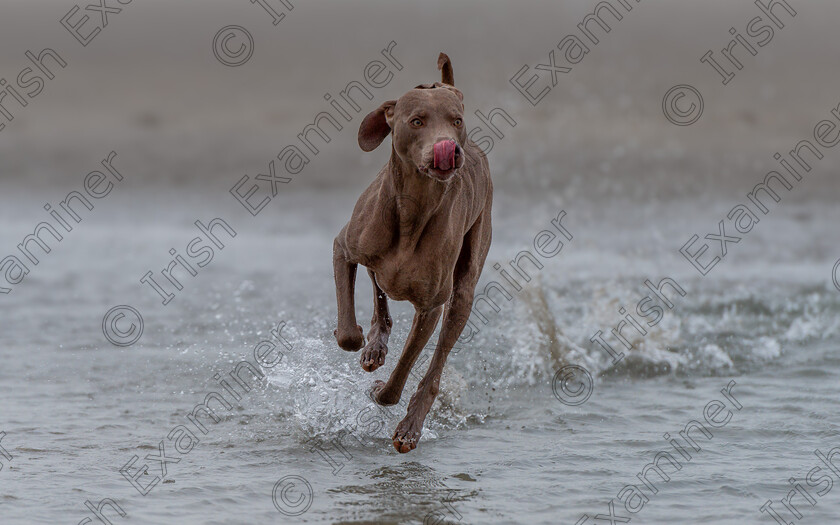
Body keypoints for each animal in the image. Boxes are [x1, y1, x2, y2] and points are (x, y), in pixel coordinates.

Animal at [334, 54, 492, 454]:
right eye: (416, 121)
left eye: (456, 120)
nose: (448, 148)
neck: (413, 210)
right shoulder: (345, 247)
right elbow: (347, 333)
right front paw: (362, 342)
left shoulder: (432, 305)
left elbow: (404, 371)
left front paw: (383, 396)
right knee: (378, 287)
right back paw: (375, 346)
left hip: (464, 284)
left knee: (436, 364)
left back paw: (412, 424)